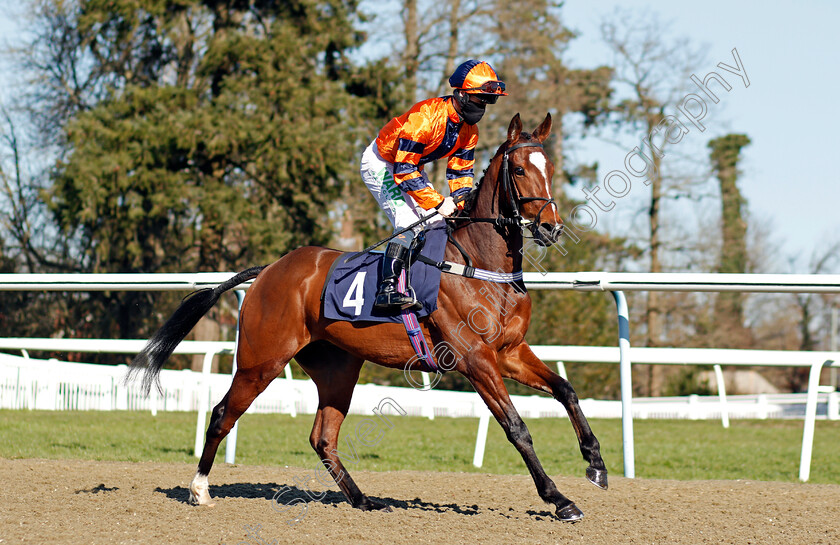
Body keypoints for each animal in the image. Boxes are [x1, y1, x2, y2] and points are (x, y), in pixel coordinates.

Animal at [128, 112, 608, 520]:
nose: (550, 228)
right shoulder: (475, 358)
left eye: (552, 169)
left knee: (322, 438)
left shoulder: (509, 351)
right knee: (222, 414)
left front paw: (596, 463)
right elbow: (517, 427)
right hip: (260, 360)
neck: (480, 263)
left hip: (337, 368)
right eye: (521, 170)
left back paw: (362, 499)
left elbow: (566, 390)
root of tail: (269, 269)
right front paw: (559, 499)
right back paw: (199, 489)